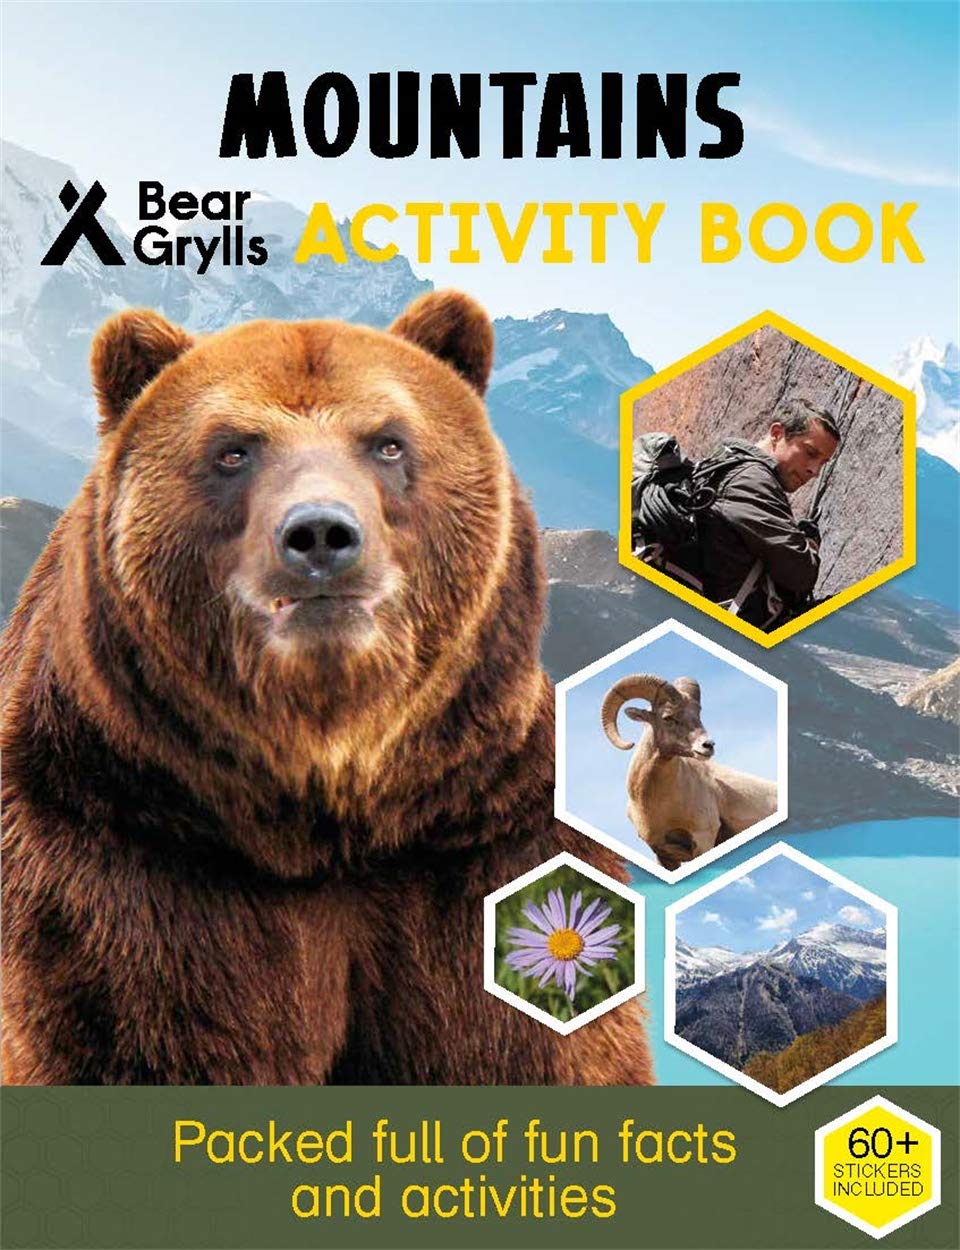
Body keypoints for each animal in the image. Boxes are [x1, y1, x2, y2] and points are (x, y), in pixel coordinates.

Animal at [0, 291, 653, 1086]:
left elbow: (527, 1048)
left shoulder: (481, 838)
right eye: (233, 449)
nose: (319, 535)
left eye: (388, 442)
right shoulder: (125, 849)